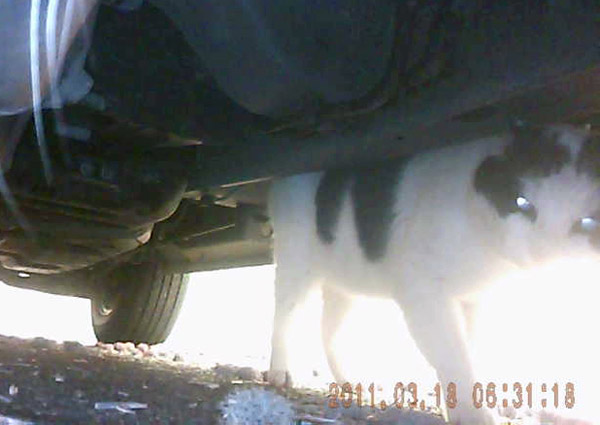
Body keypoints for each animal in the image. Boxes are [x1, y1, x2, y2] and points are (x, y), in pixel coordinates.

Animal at [268, 123, 596, 424]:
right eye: (522, 203)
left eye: (588, 224)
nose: (540, 254)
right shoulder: (422, 289)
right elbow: (453, 354)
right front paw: (475, 415)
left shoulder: (479, 300)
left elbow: (474, 348)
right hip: (296, 255)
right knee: (285, 311)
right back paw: (279, 373)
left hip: (347, 278)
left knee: (329, 326)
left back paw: (351, 382)